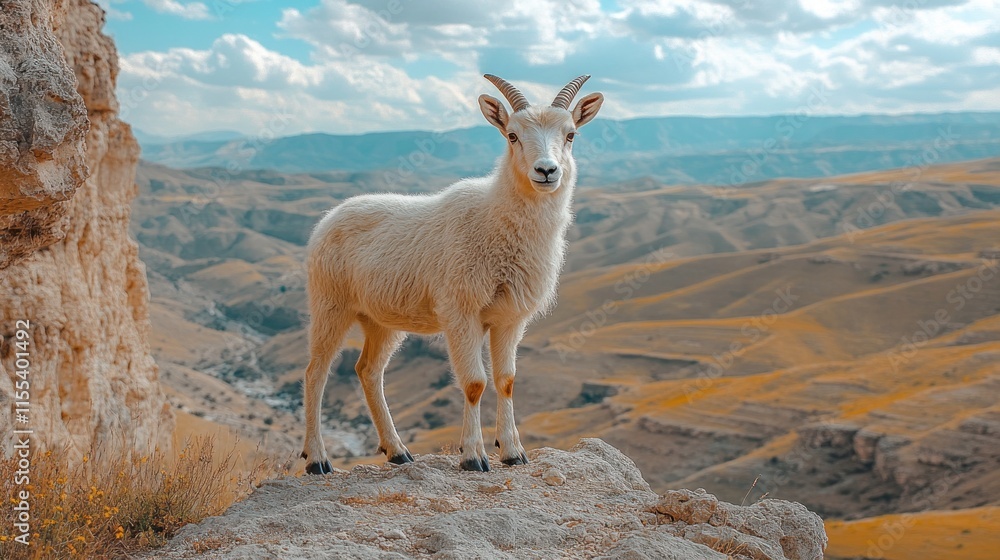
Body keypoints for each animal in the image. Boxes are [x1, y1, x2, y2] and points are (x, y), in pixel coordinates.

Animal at [301, 74, 604, 473]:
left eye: (571, 135)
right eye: (512, 135)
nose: (547, 170)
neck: (495, 220)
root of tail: (330, 216)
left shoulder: (510, 317)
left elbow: (506, 380)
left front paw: (513, 453)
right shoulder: (460, 311)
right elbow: (474, 383)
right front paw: (473, 457)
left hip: (380, 319)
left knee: (368, 370)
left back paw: (398, 451)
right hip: (330, 302)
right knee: (316, 372)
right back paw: (317, 459)